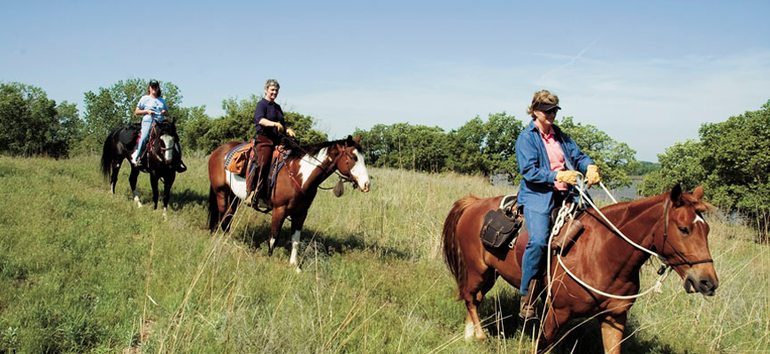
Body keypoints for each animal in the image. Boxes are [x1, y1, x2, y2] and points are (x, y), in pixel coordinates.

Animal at [207, 136, 368, 266]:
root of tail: (218, 151)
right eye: (353, 158)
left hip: (234, 195)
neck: (298, 175)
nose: (366, 185)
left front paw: (294, 264)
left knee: (229, 214)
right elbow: (274, 237)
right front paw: (269, 259)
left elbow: (296, 240)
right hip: (220, 191)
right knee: (222, 214)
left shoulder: (301, 213)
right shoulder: (279, 209)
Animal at [440, 184, 716, 352]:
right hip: (478, 270)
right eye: (684, 229)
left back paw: (469, 335)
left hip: (490, 273)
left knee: (474, 298)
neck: (603, 253)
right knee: (471, 298)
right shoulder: (556, 314)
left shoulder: (615, 318)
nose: (708, 282)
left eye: (707, 230)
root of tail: (474, 203)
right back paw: (478, 336)